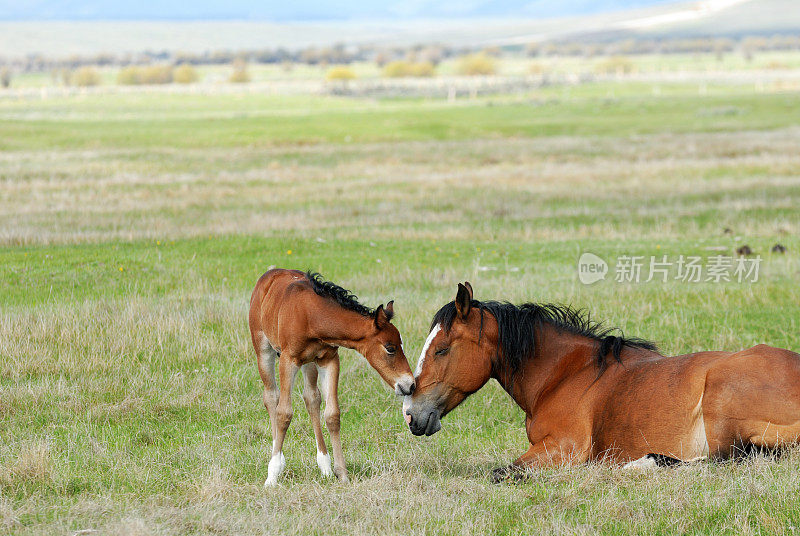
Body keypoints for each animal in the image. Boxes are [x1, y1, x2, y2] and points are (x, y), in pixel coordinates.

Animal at [248, 268, 412, 486]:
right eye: (390, 348)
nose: (410, 385)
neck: (311, 315)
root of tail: (270, 273)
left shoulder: (330, 359)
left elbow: (332, 414)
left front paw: (342, 474)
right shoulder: (288, 360)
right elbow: (284, 413)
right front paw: (272, 476)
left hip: (309, 363)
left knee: (312, 399)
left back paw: (324, 466)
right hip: (263, 348)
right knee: (271, 396)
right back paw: (279, 458)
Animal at [404, 282, 800, 480]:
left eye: (441, 349)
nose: (410, 412)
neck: (566, 374)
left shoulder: (562, 448)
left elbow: (505, 472)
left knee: (728, 460)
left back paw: (644, 464)